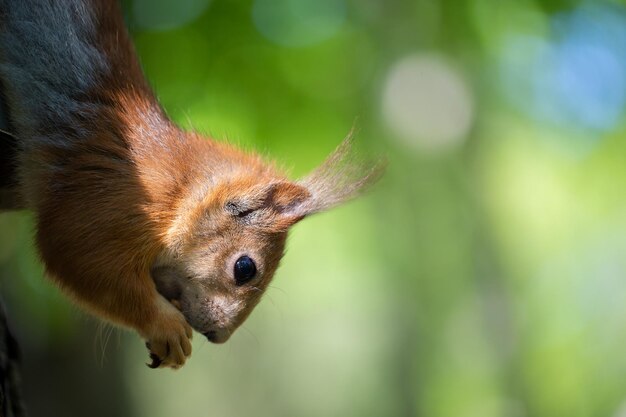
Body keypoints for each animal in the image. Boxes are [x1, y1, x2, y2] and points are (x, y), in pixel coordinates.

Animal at [0, 0, 382, 370]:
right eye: (245, 268)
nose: (218, 336)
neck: (180, 191)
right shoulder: (109, 199)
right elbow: (77, 254)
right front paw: (165, 327)